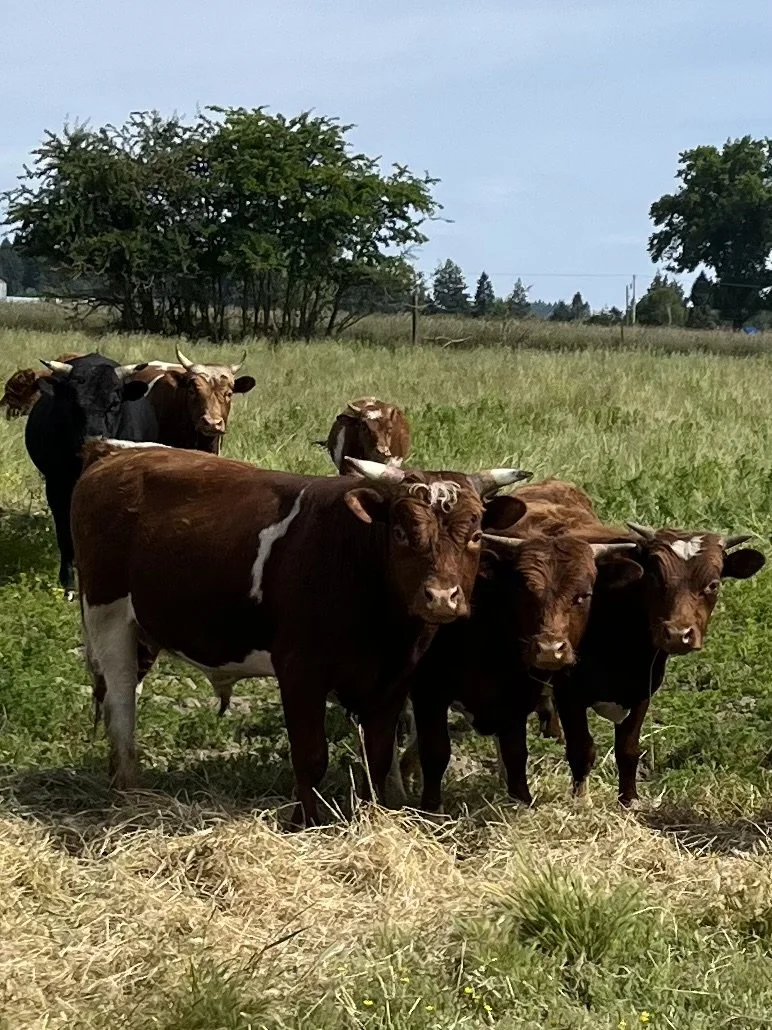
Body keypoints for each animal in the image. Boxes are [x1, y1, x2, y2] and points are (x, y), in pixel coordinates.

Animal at [24, 353, 149, 599]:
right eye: (73, 402)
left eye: (114, 403)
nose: (93, 439)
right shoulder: (56, 486)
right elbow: (65, 534)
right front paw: (68, 582)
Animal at [71, 443, 532, 824]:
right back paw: (129, 788)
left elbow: (378, 756)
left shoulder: (393, 680)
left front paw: (376, 814)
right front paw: (305, 822)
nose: (440, 597)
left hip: (140, 632)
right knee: (122, 705)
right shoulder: (300, 672)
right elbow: (310, 757)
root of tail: (114, 457)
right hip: (108, 618)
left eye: (475, 534)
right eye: (401, 533)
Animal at [397, 481, 642, 811]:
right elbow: (435, 752)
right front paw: (431, 807)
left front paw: (521, 800)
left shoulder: (518, 697)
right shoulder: (429, 693)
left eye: (583, 595)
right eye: (524, 592)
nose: (550, 649)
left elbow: (515, 754)